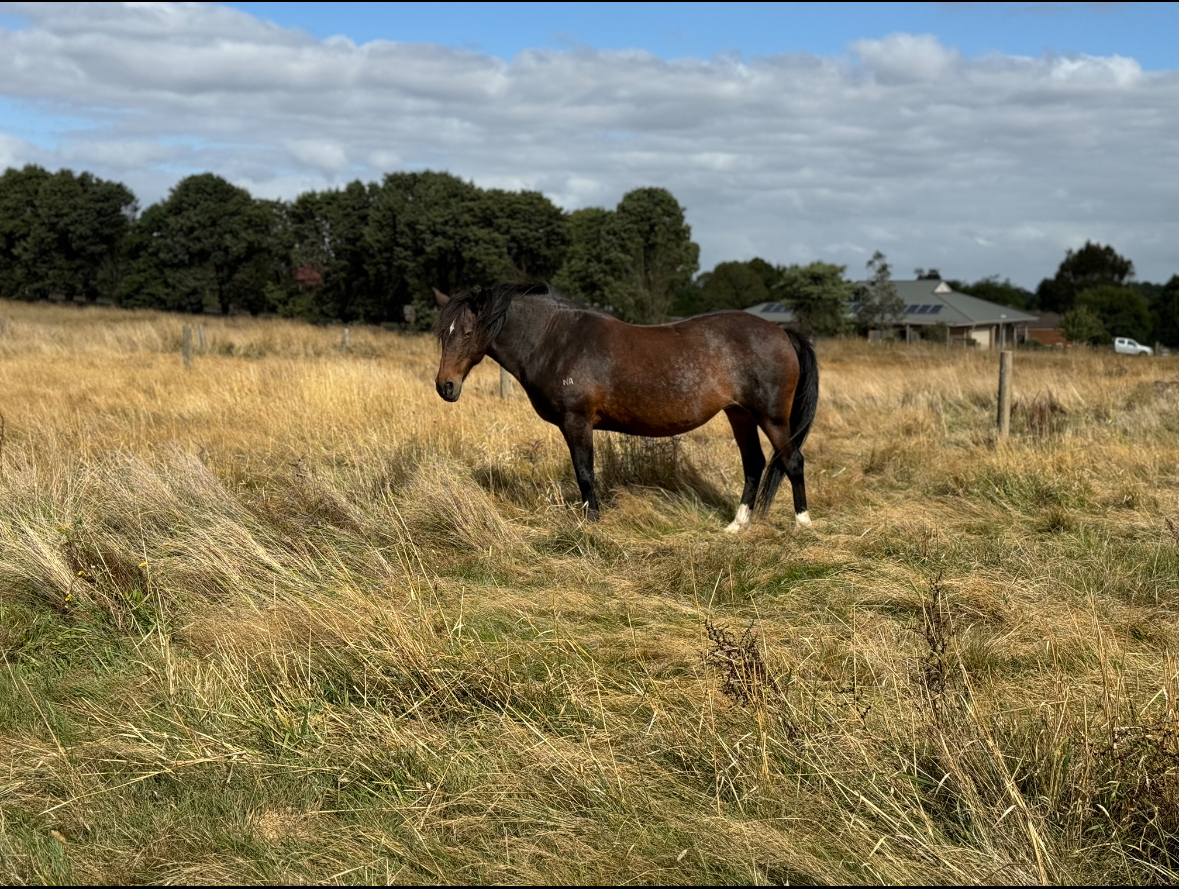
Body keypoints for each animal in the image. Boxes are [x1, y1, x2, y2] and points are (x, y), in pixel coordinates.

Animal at [432, 283, 818, 532]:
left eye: (467, 332)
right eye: (442, 333)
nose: (445, 386)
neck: (555, 340)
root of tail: (781, 332)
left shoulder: (577, 422)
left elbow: (585, 473)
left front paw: (592, 525)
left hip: (771, 417)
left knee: (792, 460)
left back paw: (802, 524)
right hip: (739, 414)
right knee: (754, 463)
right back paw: (736, 526)